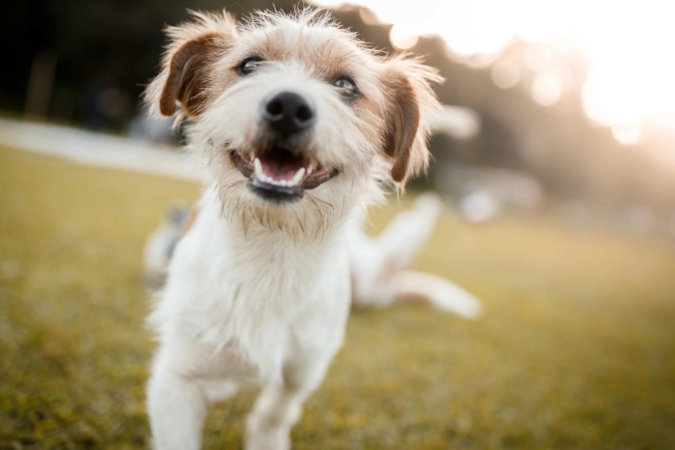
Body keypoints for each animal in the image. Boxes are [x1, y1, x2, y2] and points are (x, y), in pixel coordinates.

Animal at [145, 7, 480, 450]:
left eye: (345, 85)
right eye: (249, 66)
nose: (288, 105)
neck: (272, 245)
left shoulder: (306, 364)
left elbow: (277, 409)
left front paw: (267, 434)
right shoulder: (177, 377)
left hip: (366, 280)